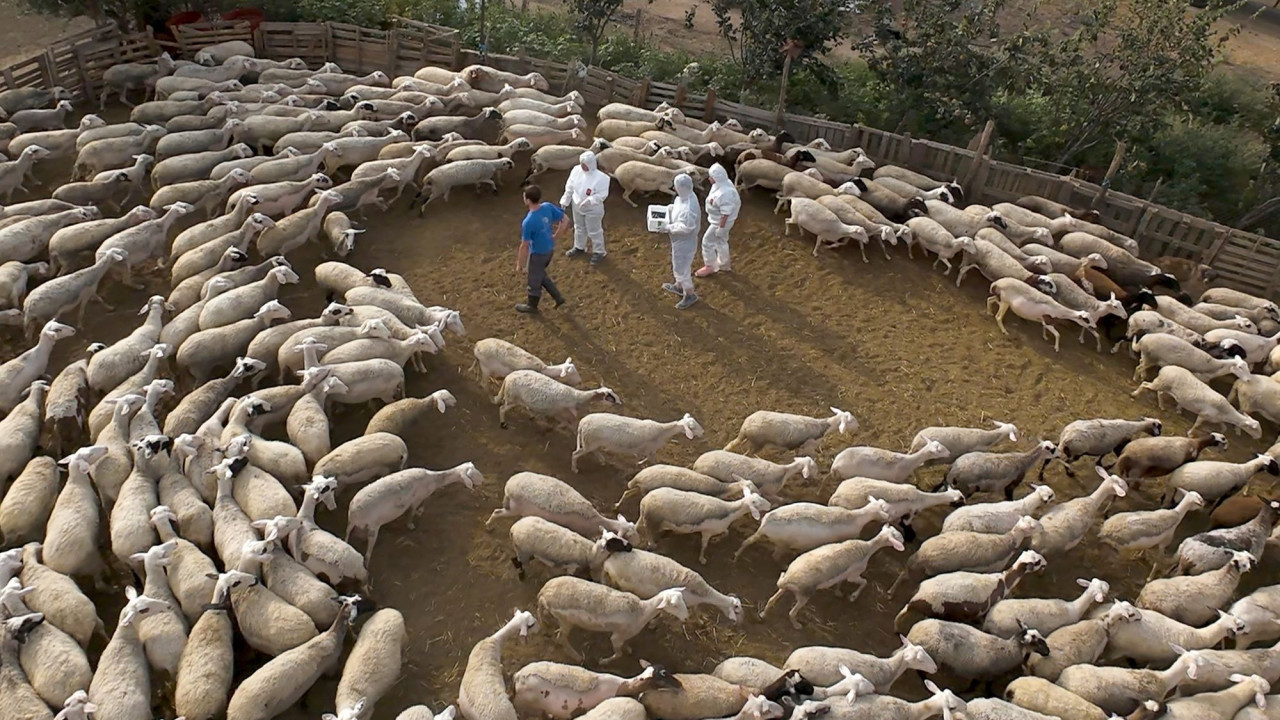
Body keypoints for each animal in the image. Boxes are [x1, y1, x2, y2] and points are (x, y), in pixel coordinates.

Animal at [491, 368, 622, 425]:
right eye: (610, 397)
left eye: (613, 392)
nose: (620, 403)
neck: (578, 397)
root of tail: (509, 376)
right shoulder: (562, 415)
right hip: (512, 398)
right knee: (502, 409)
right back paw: (503, 423)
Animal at [604, 540, 747, 620]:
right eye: (737, 610)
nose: (739, 623)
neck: (702, 592)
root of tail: (610, 560)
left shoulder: (694, 602)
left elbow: (696, 610)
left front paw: (701, 619)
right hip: (619, 582)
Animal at [762, 520, 906, 622]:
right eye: (896, 536)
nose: (904, 540)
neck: (868, 547)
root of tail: (788, 578)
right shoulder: (854, 575)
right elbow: (865, 582)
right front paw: (853, 597)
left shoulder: (844, 573)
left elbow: (840, 582)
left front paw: (838, 592)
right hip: (804, 594)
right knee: (791, 612)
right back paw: (796, 624)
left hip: (786, 587)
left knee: (771, 600)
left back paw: (763, 614)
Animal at [1136, 363, 1264, 438]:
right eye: (1255, 429)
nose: (1259, 437)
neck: (1226, 412)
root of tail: (1164, 368)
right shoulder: (1203, 415)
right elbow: (1197, 425)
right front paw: (1190, 434)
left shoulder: (1217, 419)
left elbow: (1224, 428)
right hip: (1160, 383)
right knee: (1145, 384)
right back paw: (1135, 394)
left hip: (1164, 385)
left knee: (1160, 393)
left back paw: (1161, 406)